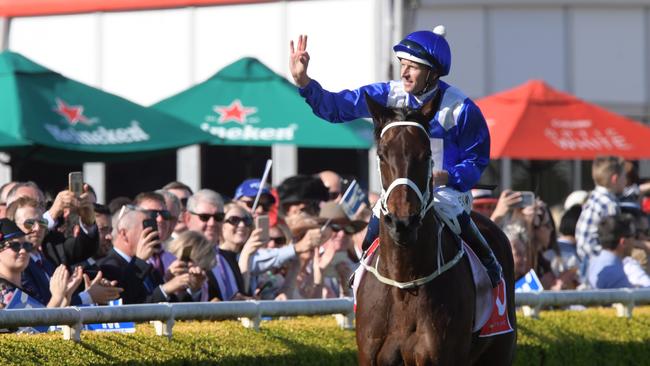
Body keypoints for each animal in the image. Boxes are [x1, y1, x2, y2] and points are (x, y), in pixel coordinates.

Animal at [354, 94, 516, 366]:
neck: (403, 284)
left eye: (426, 153)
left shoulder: (441, 357)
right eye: (382, 154)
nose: (403, 223)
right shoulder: (370, 358)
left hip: (499, 351)